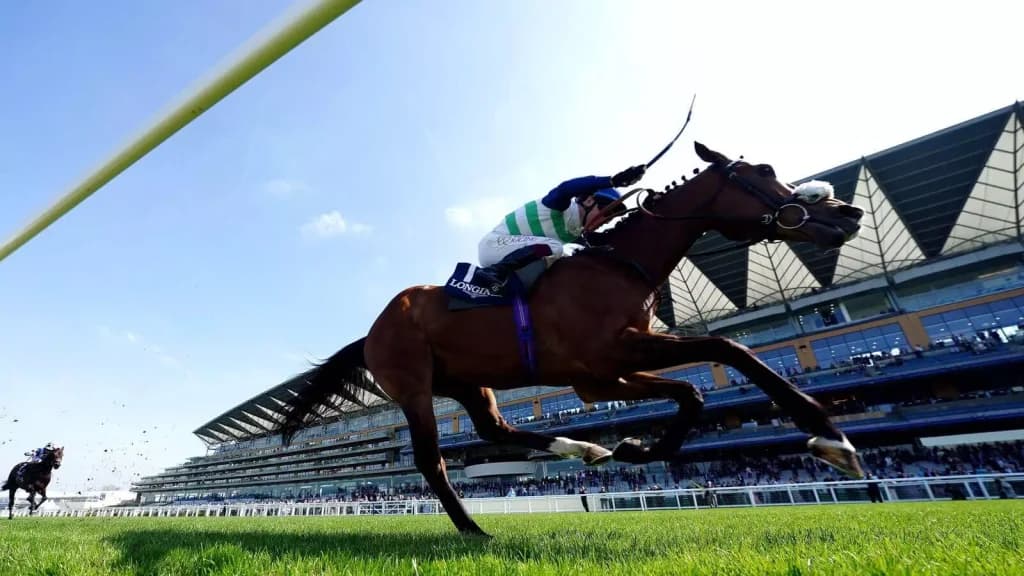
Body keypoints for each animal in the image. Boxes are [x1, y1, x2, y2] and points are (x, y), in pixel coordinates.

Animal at [278, 142, 866, 535]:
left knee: (494, 428)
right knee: (431, 460)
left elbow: (692, 392)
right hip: (415, 387)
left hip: (470, 383)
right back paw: (474, 529)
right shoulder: (607, 361)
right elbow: (730, 349)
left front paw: (636, 446)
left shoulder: (603, 374)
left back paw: (582, 447)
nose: (848, 212)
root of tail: (371, 330)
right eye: (764, 172)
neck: (618, 266)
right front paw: (830, 437)